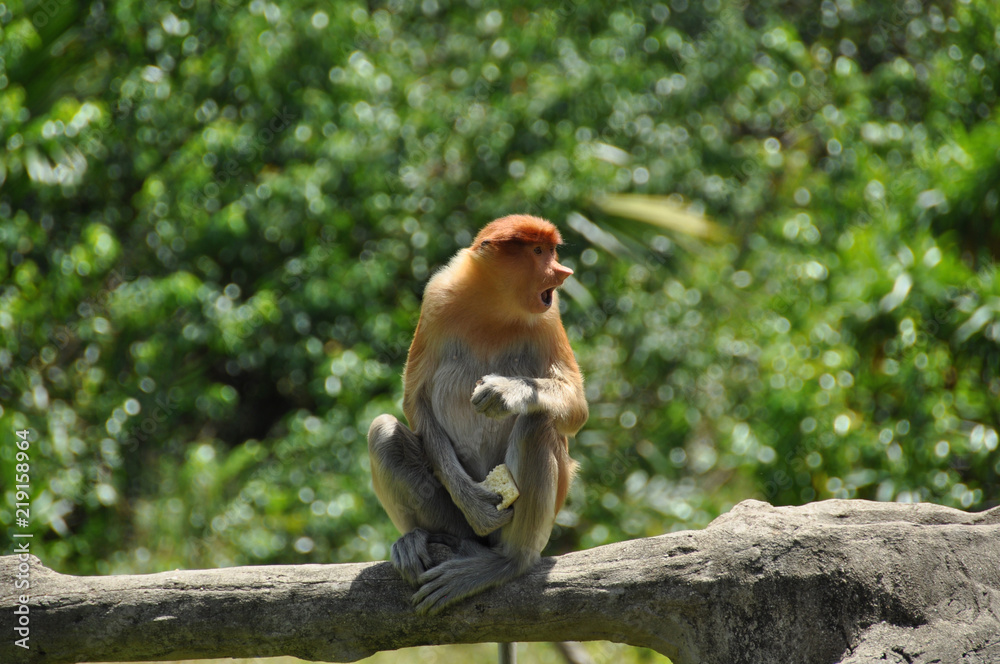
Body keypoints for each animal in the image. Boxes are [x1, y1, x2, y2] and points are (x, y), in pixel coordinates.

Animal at [367, 214, 588, 615]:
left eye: (552, 251)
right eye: (538, 251)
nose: (563, 271)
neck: (494, 304)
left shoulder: (550, 316)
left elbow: (576, 407)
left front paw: (506, 392)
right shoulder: (436, 298)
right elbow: (414, 401)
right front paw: (475, 503)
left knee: (538, 422)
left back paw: (506, 562)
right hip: (454, 523)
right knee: (383, 431)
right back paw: (417, 540)